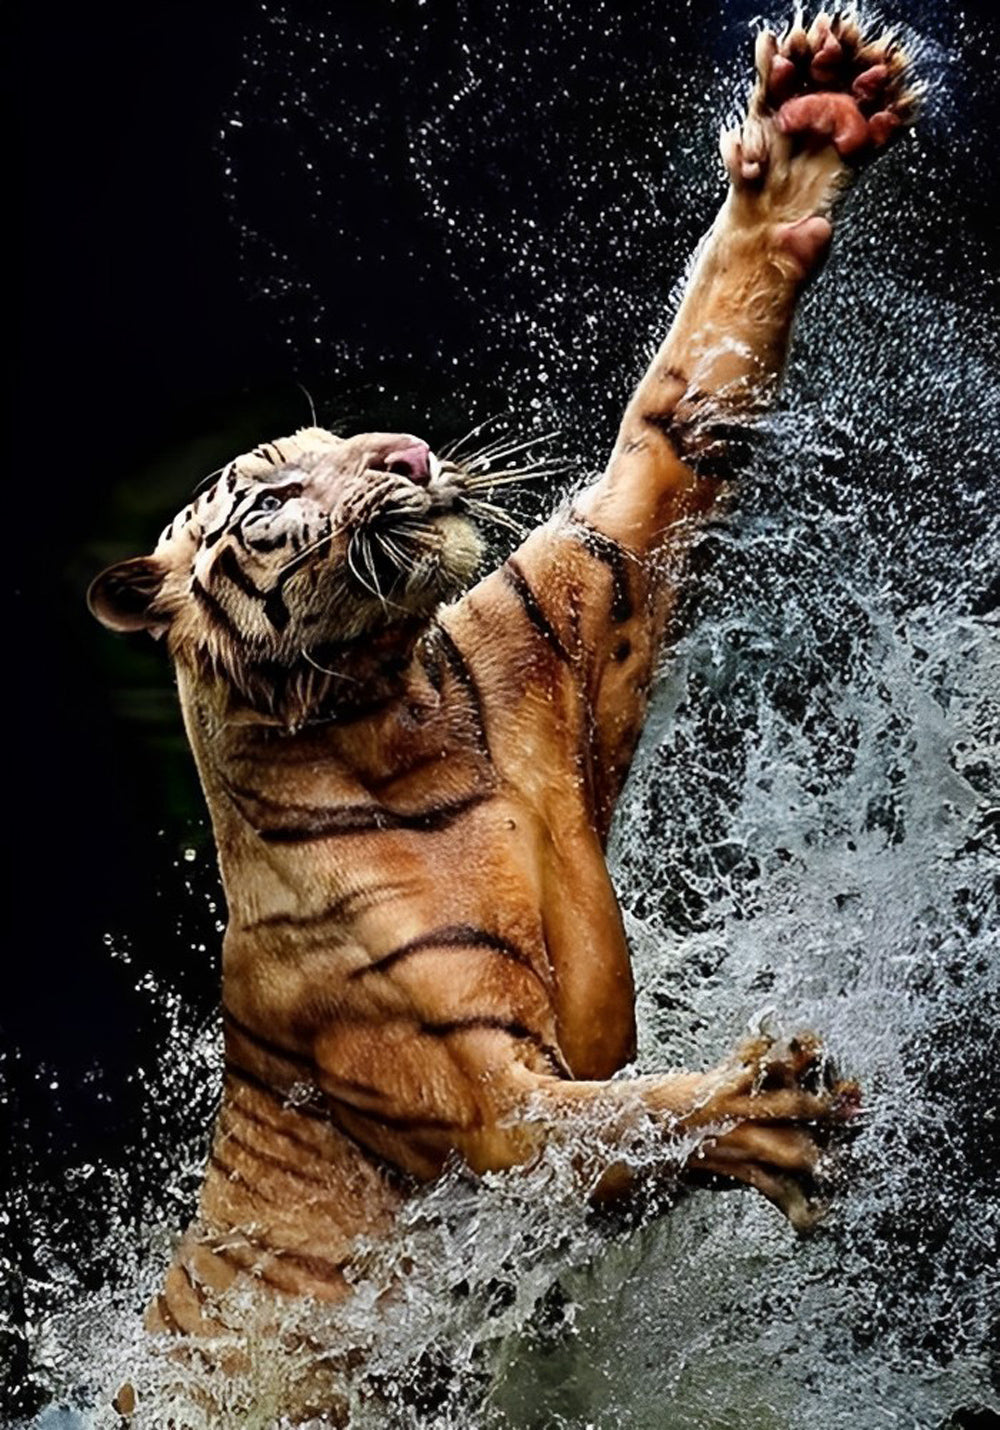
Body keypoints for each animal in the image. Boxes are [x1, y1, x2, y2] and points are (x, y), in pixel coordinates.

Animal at [89, 12, 919, 1422]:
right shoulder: (484, 1098)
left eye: (344, 438)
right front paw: (765, 1110)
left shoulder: (580, 593)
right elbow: (614, 1120)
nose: (408, 455)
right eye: (273, 492)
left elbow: (680, 406)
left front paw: (809, 123)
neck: (393, 705)